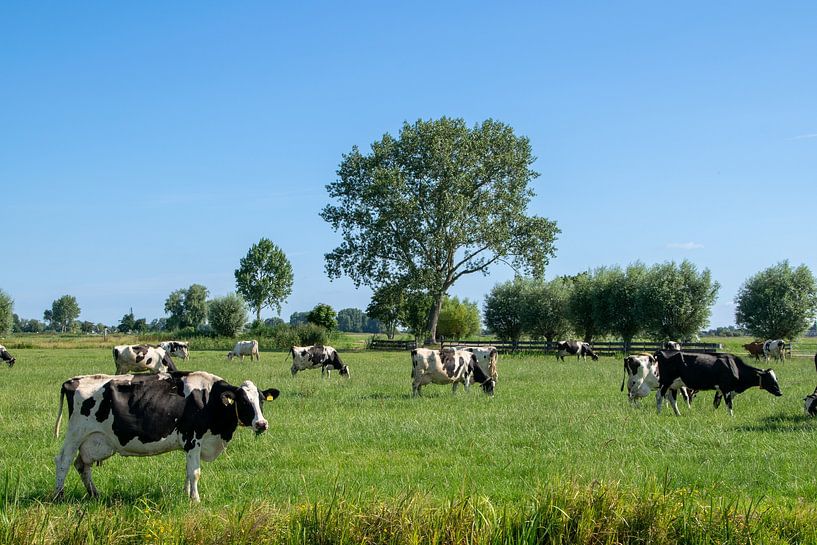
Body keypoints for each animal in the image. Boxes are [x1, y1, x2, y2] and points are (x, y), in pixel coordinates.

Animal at [53, 371, 279, 502]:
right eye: (243, 402)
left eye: (261, 400)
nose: (261, 424)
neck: (209, 399)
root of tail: (72, 381)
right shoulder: (193, 438)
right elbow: (195, 472)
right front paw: (196, 500)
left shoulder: (190, 444)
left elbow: (188, 472)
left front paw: (187, 495)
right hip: (75, 433)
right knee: (63, 461)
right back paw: (58, 496)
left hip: (93, 440)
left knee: (82, 465)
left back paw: (94, 494)